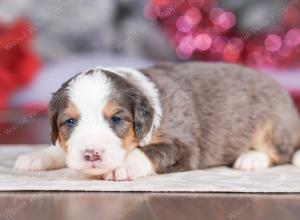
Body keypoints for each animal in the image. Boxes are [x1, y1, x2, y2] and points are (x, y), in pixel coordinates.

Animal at [14, 61, 300, 180]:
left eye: (116, 118)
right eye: (70, 122)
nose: (91, 154)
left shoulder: (184, 145)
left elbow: (147, 152)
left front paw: (121, 166)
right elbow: (59, 148)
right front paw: (36, 157)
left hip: (270, 123)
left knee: (282, 152)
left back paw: (250, 158)